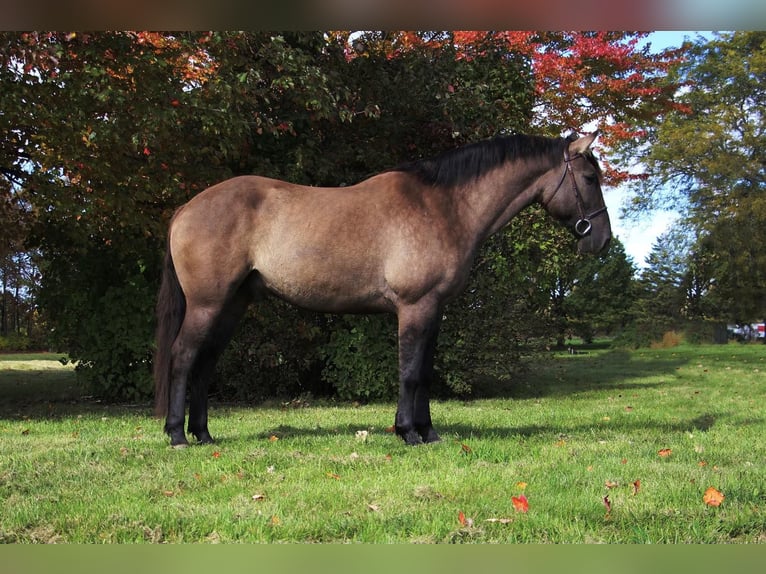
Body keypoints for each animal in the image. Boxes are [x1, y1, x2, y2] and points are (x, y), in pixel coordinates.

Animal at [154, 132, 612, 450]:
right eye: (590, 177)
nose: (602, 241)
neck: (444, 207)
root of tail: (186, 208)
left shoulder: (434, 310)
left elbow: (424, 372)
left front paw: (428, 432)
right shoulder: (414, 307)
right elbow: (409, 372)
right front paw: (407, 432)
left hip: (233, 304)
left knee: (206, 363)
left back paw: (204, 434)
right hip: (207, 304)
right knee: (184, 356)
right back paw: (177, 436)